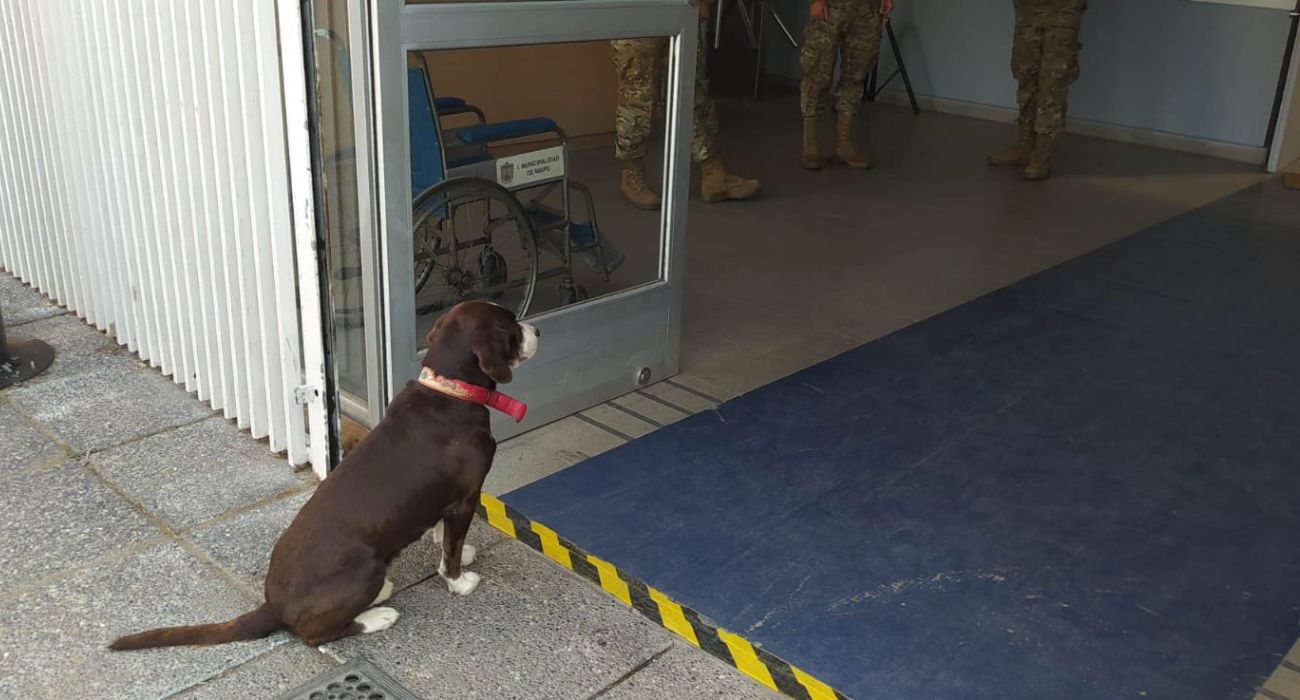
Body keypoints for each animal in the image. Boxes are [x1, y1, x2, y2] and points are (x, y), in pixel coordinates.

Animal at [110, 299, 538, 647]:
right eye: (512, 326)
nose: (537, 330)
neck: (449, 391)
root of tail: (274, 605)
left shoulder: (448, 501)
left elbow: (443, 534)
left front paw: (455, 549)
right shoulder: (466, 497)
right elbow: (450, 551)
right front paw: (459, 580)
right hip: (364, 568)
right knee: (316, 634)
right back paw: (379, 615)